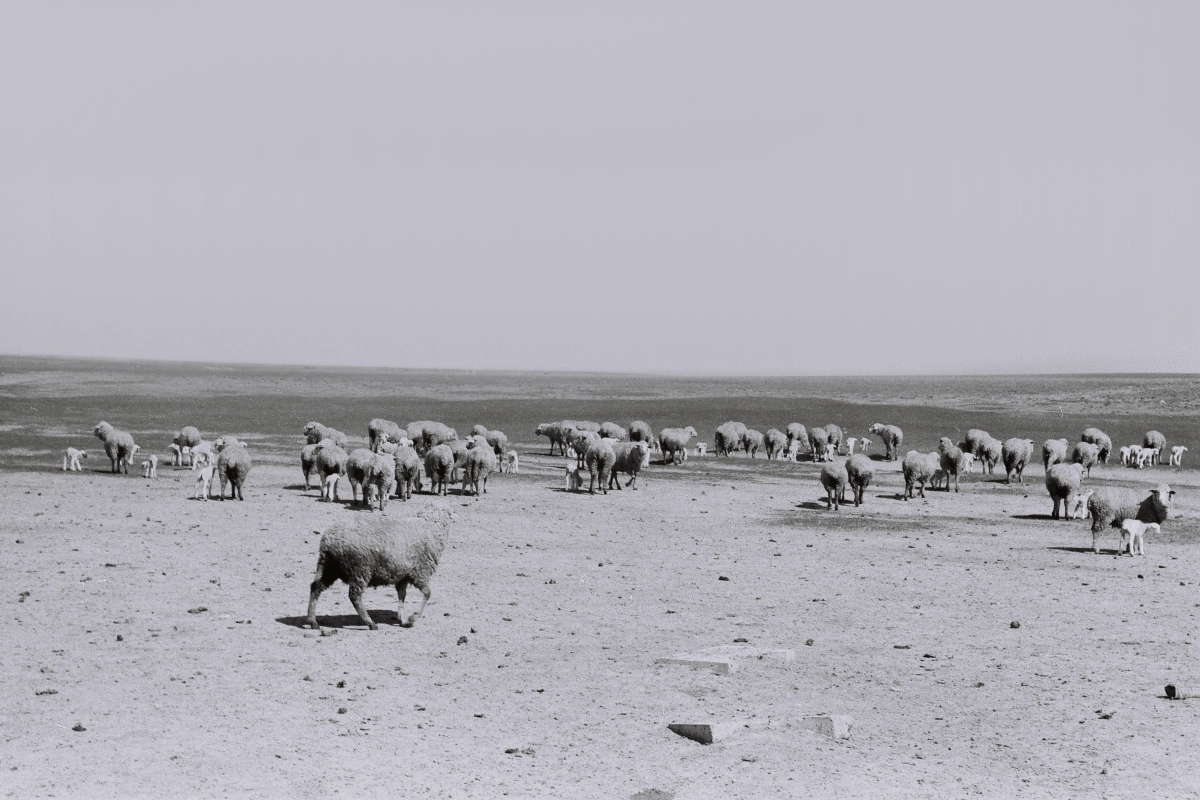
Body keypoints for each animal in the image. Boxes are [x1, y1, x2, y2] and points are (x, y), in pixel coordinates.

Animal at [304, 506, 453, 633]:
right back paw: (370, 622)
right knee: (354, 596)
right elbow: (428, 594)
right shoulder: (419, 573)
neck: (429, 526)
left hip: (328, 567)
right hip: (360, 569)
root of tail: (330, 540)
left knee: (316, 587)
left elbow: (402, 597)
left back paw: (312, 621)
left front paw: (403, 619)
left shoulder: (402, 577)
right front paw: (413, 618)